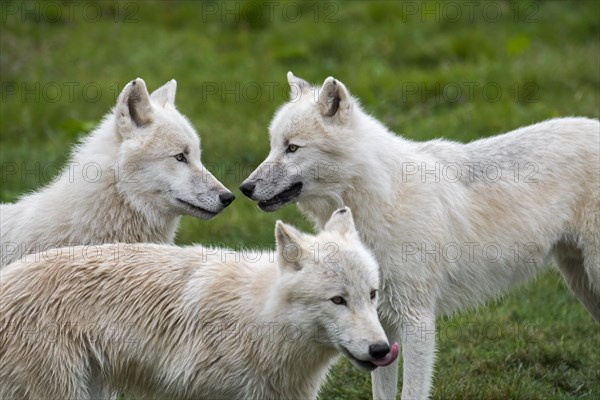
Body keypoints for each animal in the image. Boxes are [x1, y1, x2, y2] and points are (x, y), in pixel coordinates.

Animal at [239, 73, 600, 398]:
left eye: (292, 148)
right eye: (273, 147)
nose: (245, 188)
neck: (383, 199)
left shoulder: (417, 320)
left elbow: (411, 391)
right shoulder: (381, 324)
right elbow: (382, 391)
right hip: (581, 282)